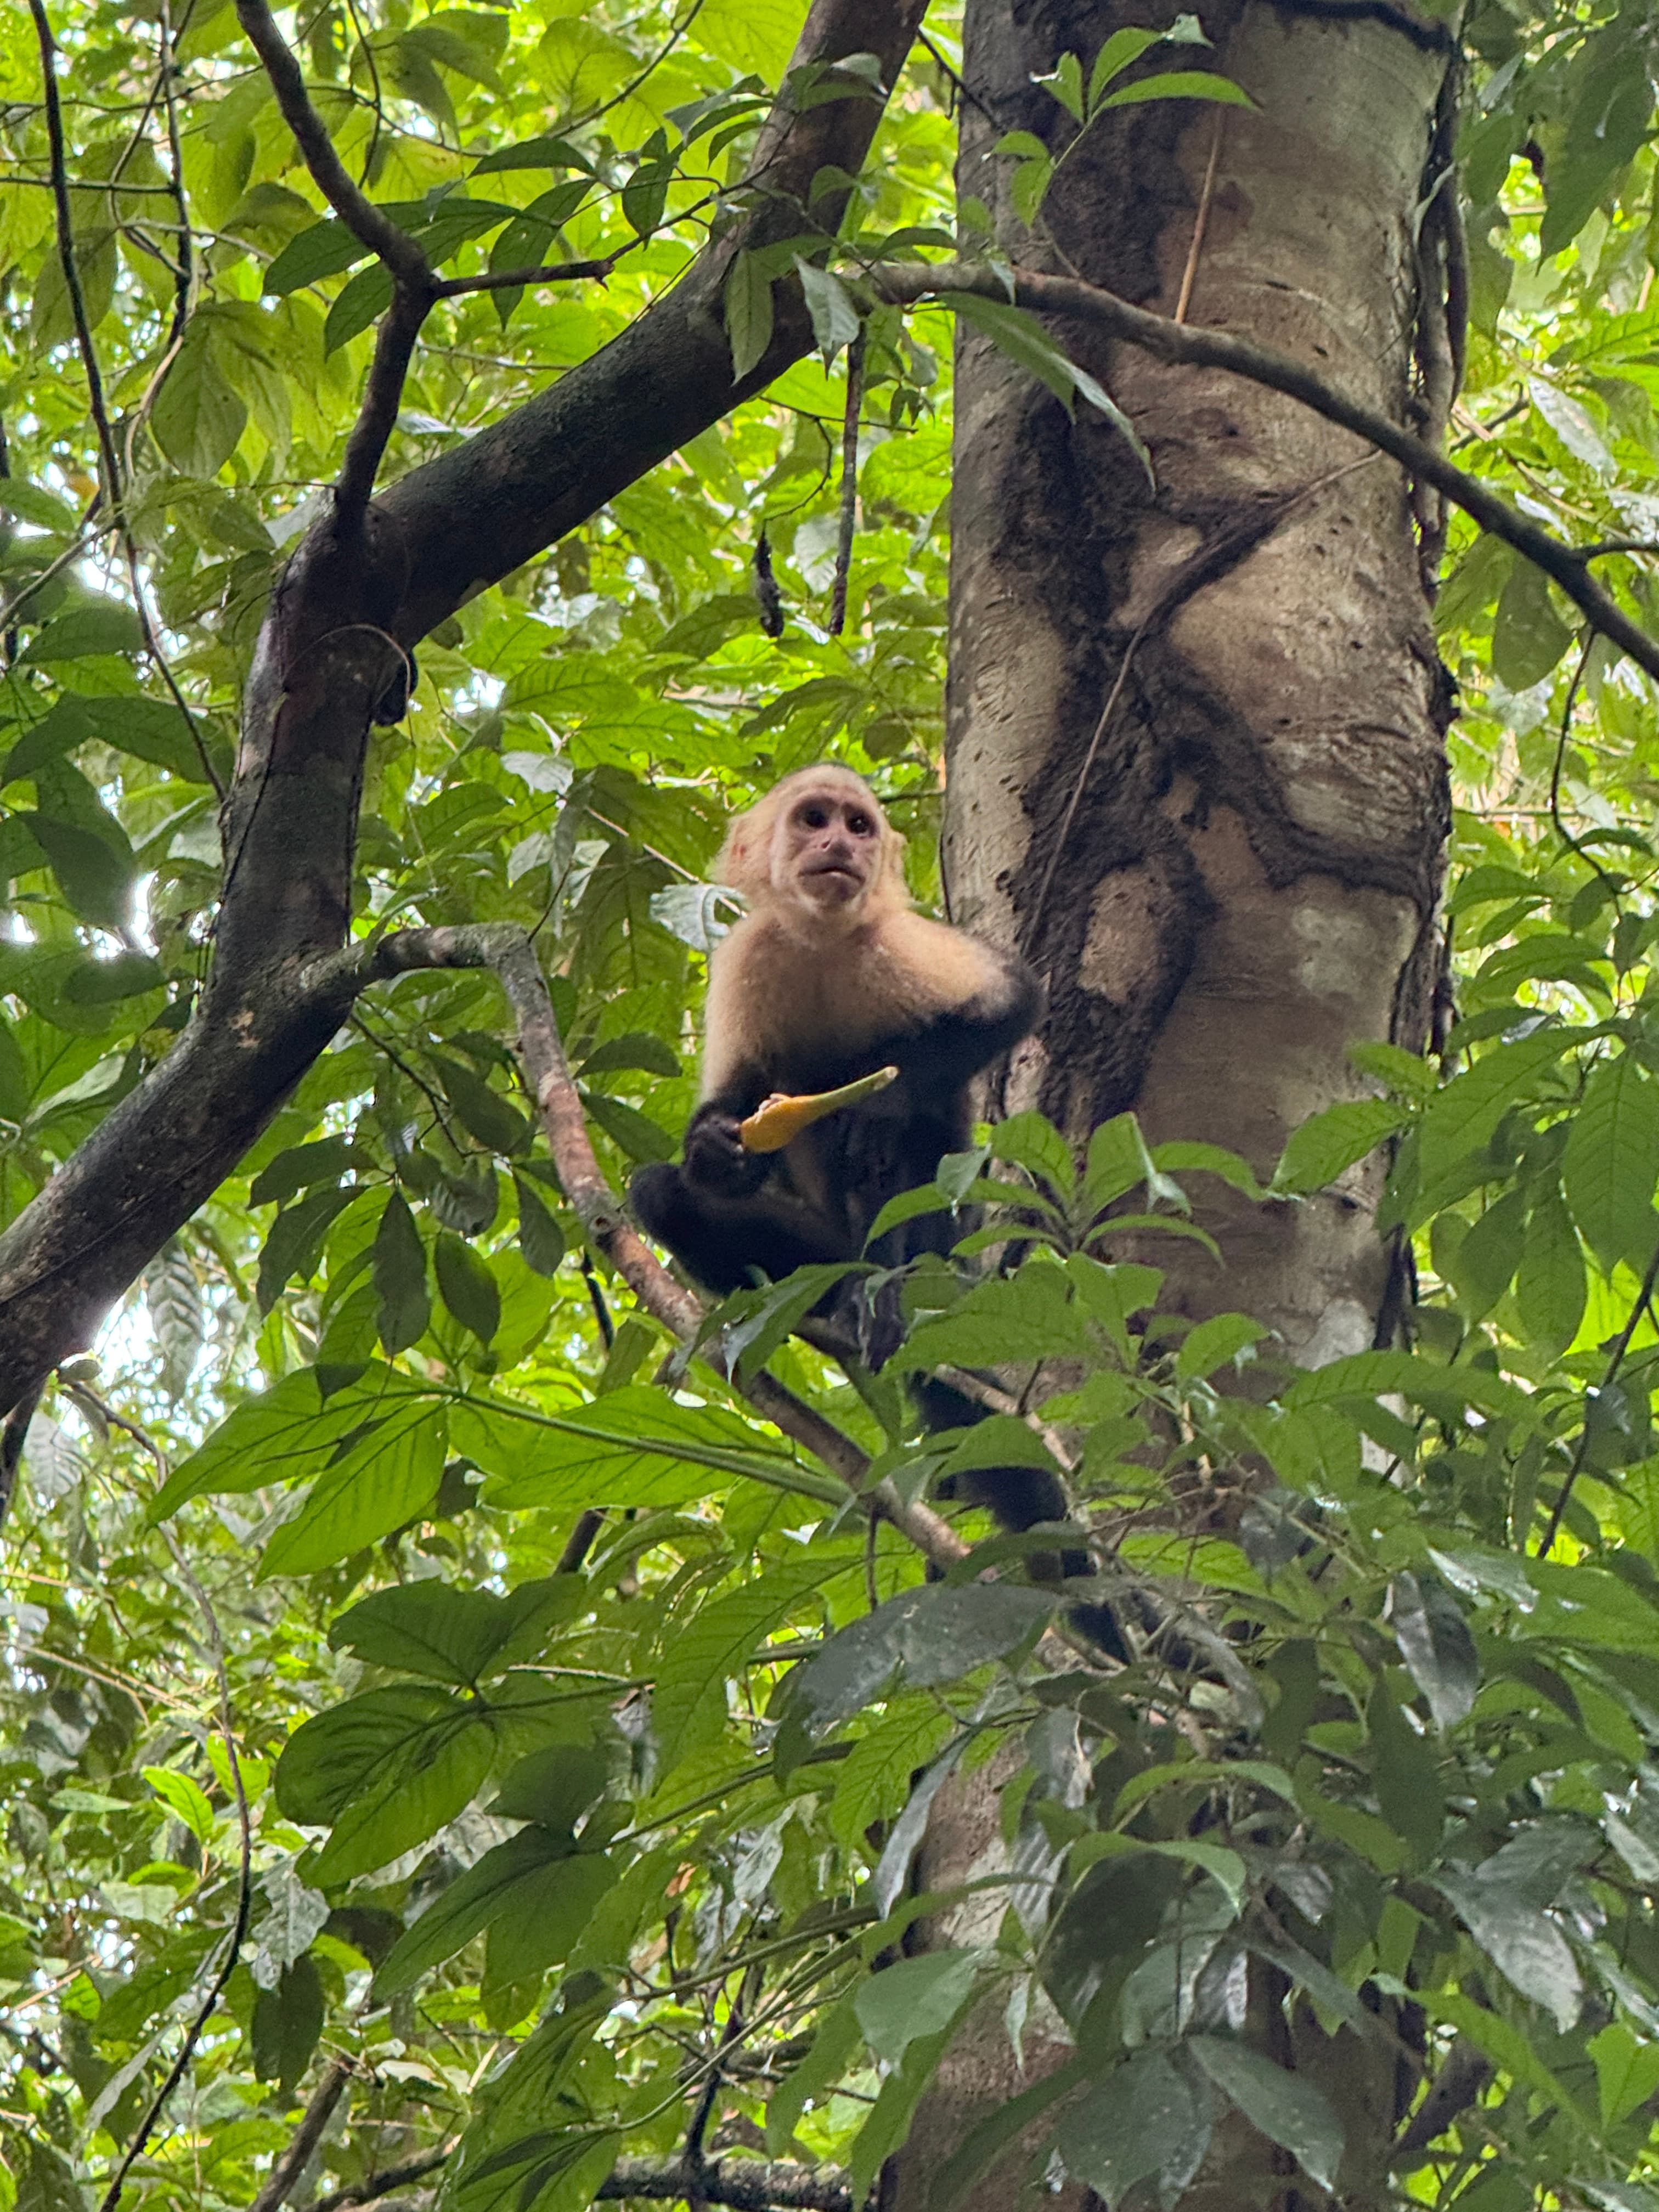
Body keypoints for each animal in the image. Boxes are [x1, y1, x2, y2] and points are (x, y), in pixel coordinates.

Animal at [629, 765, 1128, 1655]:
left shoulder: (899, 941)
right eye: (814, 819)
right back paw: (811, 1311)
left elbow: (1013, 1002)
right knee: (669, 1198)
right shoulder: (750, 957)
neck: (827, 944)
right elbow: (733, 1110)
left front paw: (880, 1104)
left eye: (859, 825)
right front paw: (717, 1148)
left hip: (940, 1256)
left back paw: (888, 1284)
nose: (840, 845)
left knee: (910, 1163)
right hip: (816, 1249)